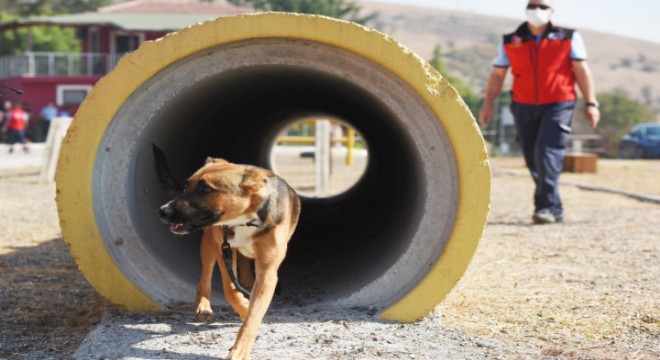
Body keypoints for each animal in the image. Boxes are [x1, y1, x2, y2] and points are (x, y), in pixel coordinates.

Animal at [153, 145, 300, 358]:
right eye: (186, 185)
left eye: (206, 188)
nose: (162, 211)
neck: (244, 220)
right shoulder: (224, 249)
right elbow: (231, 290)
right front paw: (243, 308)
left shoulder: (267, 271)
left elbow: (254, 315)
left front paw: (240, 349)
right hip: (209, 244)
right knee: (205, 276)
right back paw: (204, 306)